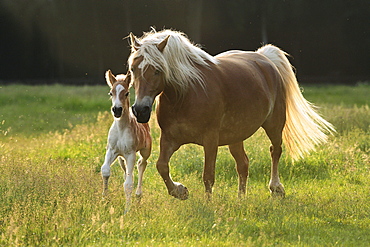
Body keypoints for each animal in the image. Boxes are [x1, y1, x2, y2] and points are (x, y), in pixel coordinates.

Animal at [100, 69, 151, 210]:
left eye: (127, 93)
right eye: (111, 93)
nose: (117, 110)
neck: (121, 128)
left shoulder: (130, 154)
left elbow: (128, 184)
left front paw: (127, 210)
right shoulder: (111, 150)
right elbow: (105, 171)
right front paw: (104, 200)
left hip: (145, 151)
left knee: (141, 164)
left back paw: (138, 195)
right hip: (120, 157)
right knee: (127, 169)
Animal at [129, 29, 334, 199]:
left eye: (157, 70)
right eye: (133, 69)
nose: (140, 110)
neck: (186, 93)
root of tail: (265, 58)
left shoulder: (210, 140)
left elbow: (208, 175)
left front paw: (207, 205)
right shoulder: (169, 138)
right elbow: (162, 166)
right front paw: (180, 191)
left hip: (274, 124)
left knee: (275, 151)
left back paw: (276, 188)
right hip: (236, 136)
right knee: (243, 164)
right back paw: (240, 200)